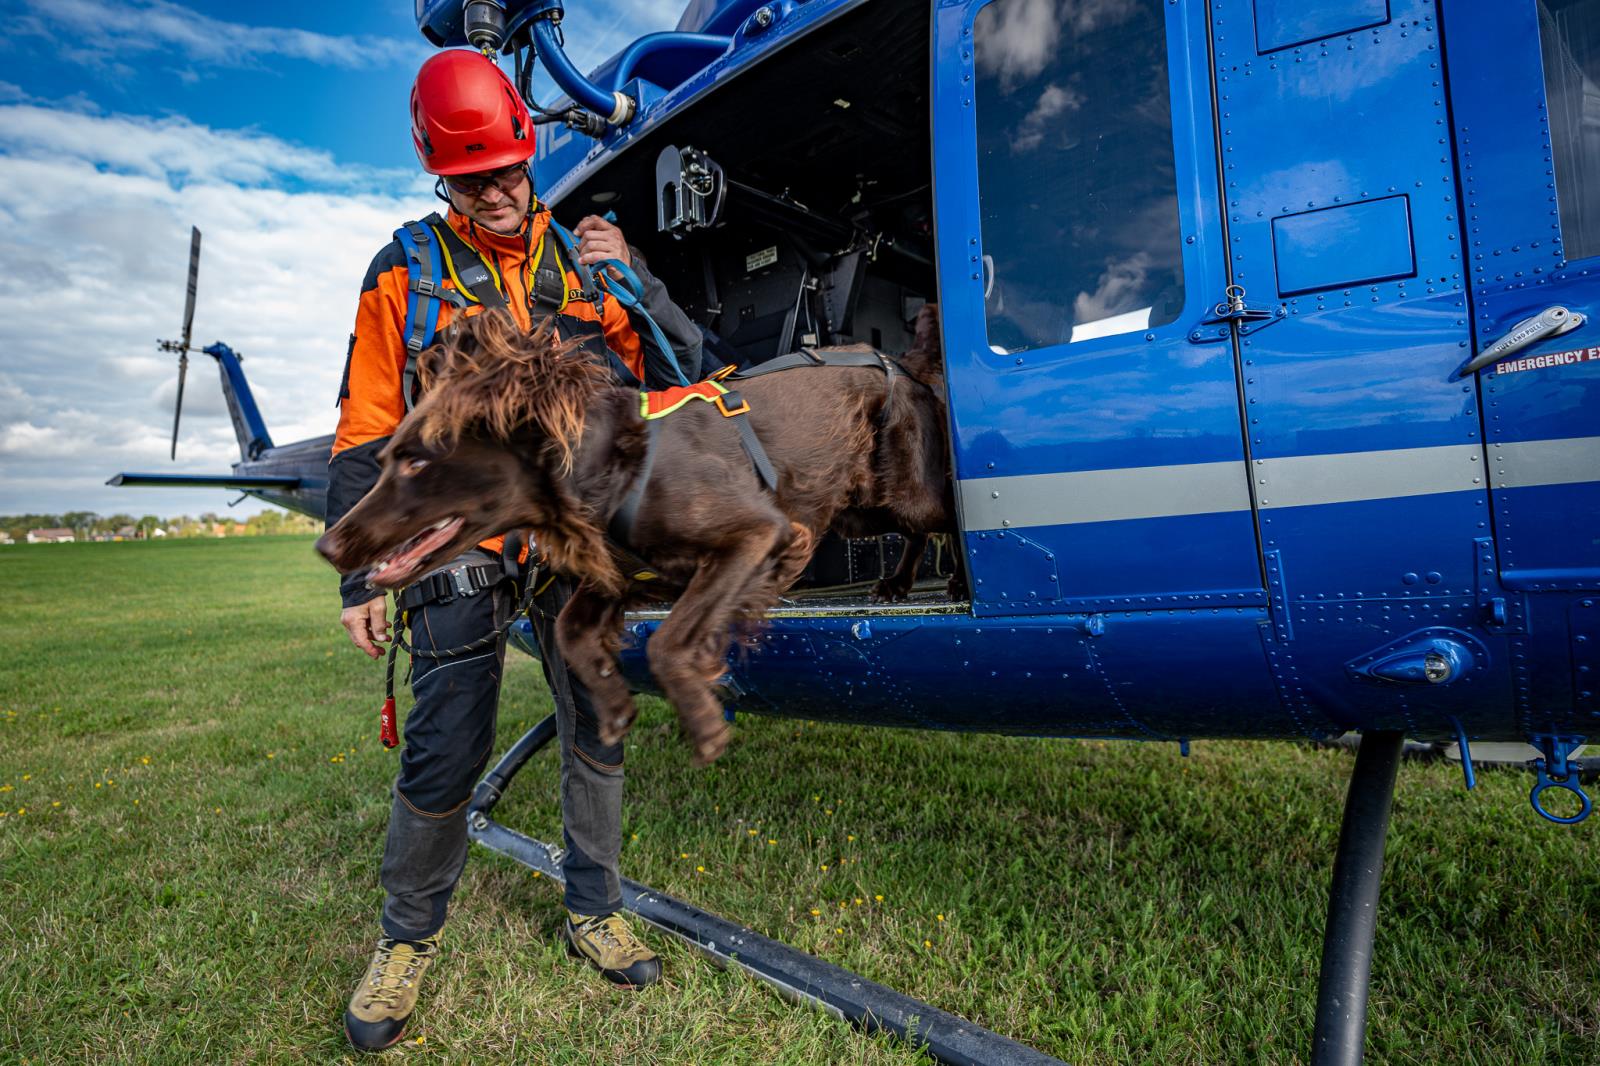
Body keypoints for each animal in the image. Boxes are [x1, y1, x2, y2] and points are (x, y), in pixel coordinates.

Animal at [318, 307, 953, 765]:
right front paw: (614, 703)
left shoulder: (759, 534)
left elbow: (667, 642)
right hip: (854, 509)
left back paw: (926, 583)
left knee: (940, 515)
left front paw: (702, 722)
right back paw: (896, 584)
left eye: (416, 462)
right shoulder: (619, 577)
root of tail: (898, 360)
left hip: (901, 494)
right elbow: (573, 634)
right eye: (387, 458)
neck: (603, 460)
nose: (327, 547)